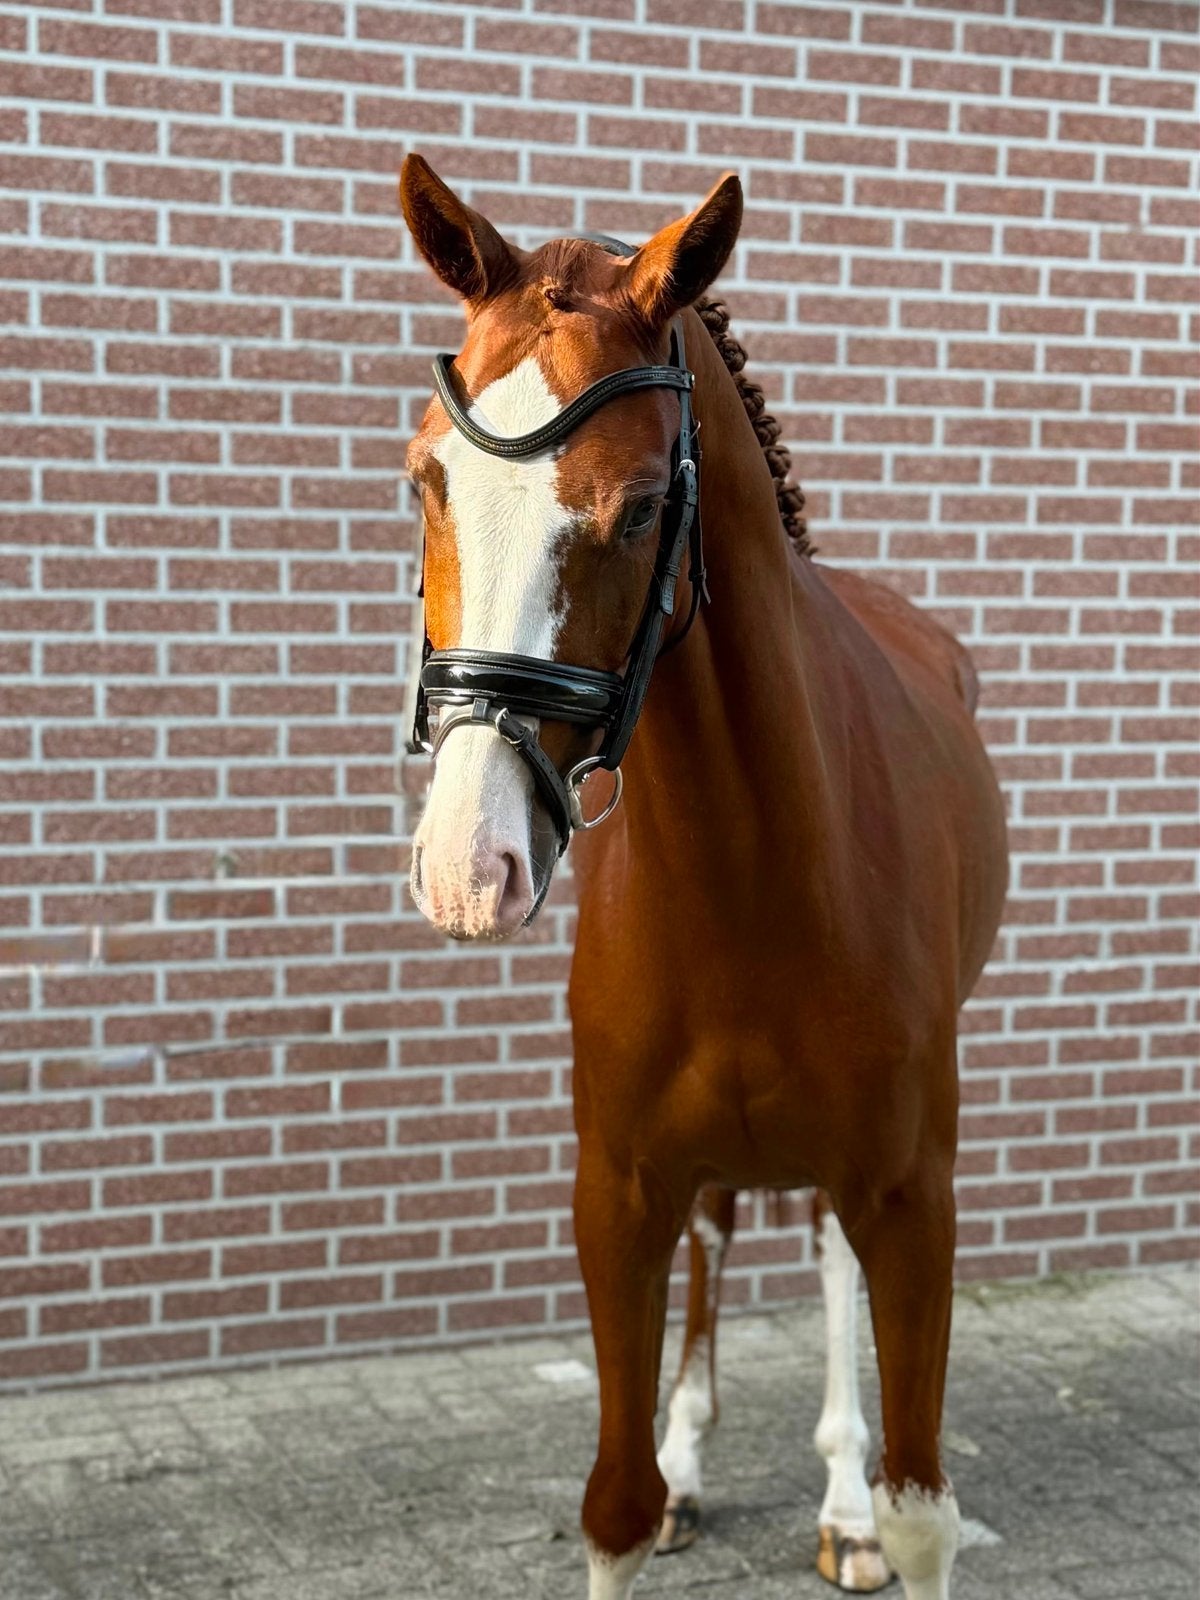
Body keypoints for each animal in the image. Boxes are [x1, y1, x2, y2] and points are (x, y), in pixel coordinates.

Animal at [397, 154, 1009, 1600]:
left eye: (635, 506)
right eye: (424, 476)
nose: (467, 867)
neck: (755, 874)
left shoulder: (913, 1198)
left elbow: (922, 1509)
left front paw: (865, 1507)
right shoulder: (618, 1189)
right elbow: (612, 1505)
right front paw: (663, 1469)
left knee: (827, 1259)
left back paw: (836, 1499)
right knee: (723, 1231)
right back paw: (692, 1454)